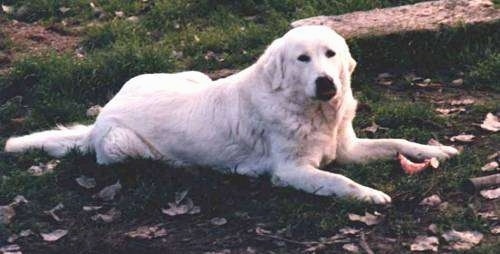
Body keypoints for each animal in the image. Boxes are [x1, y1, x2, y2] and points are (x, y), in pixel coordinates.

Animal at [4, 25, 458, 204]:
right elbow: (339, 181)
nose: (327, 83)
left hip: (192, 75)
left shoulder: (346, 147)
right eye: (302, 59)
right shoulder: (292, 171)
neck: (311, 110)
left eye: (330, 54)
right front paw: (370, 194)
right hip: (122, 144)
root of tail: (101, 115)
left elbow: (397, 141)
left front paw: (438, 150)